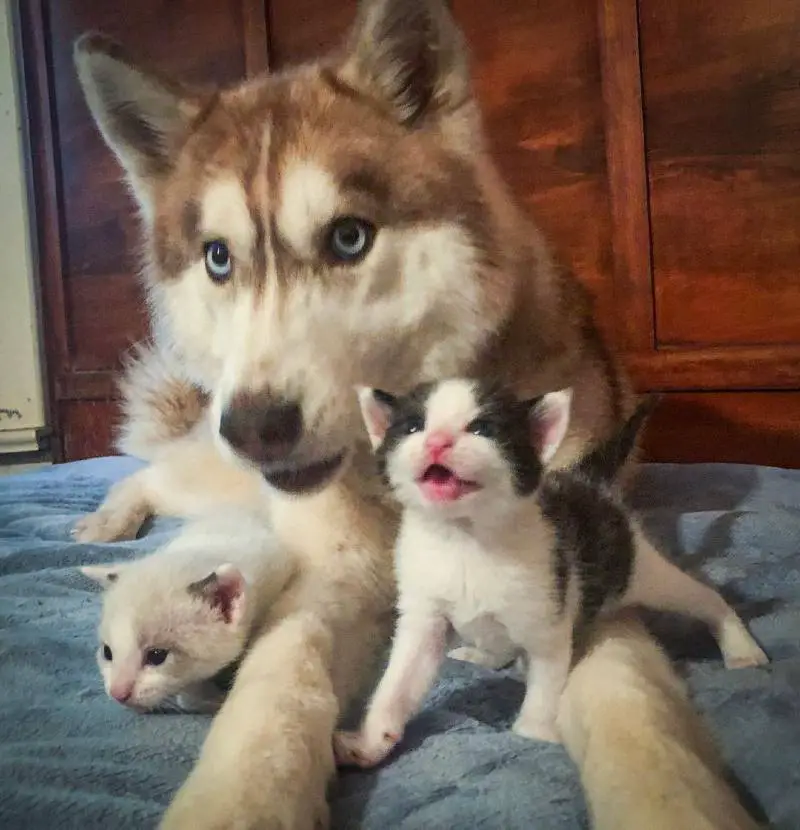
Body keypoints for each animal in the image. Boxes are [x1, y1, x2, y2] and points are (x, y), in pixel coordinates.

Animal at [332, 380, 768, 772]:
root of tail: (588, 482)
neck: (465, 540)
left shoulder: (548, 614)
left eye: (482, 429)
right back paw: (482, 653)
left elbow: (545, 684)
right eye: (413, 428)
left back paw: (740, 647)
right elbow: (398, 681)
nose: (437, 442)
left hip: (637, 570)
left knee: (705, 597)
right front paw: (370, 741)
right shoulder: (424, 615)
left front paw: (535, 735)